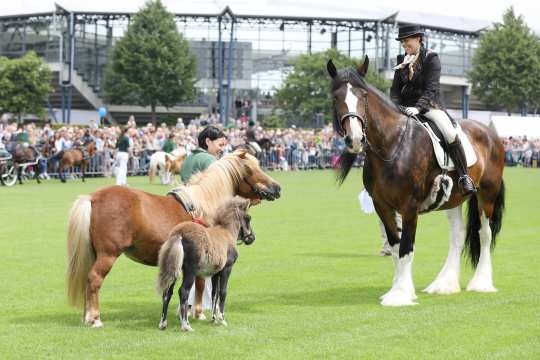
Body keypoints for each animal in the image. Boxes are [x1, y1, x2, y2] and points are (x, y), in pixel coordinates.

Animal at [156, 197, 255, 332]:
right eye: (248, 217)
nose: (252, 238)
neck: (227, 233)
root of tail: (179, 234)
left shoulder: (215, 273)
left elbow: (214, 293)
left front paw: (213, 319)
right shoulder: (227, 269)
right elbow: (223, 292)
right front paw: (222, 319)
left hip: (176, 268)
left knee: (167, 292)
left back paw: (163, 323)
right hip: (190, 271)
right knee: (183, 291)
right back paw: (186, 325)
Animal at [326, 56, 504, 306]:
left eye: (363, 96)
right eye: (336, 98)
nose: (355, 139)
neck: (393, 145)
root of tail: (489, 132)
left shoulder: (409, 207)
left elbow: (406, 247)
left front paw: (401, 294)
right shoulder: (382, 206)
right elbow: (394, 246)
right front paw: (397, 290)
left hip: (487, 195)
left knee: (484, 234)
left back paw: (481, 283)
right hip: (454, 199)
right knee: (458, 235)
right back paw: (444, 284)